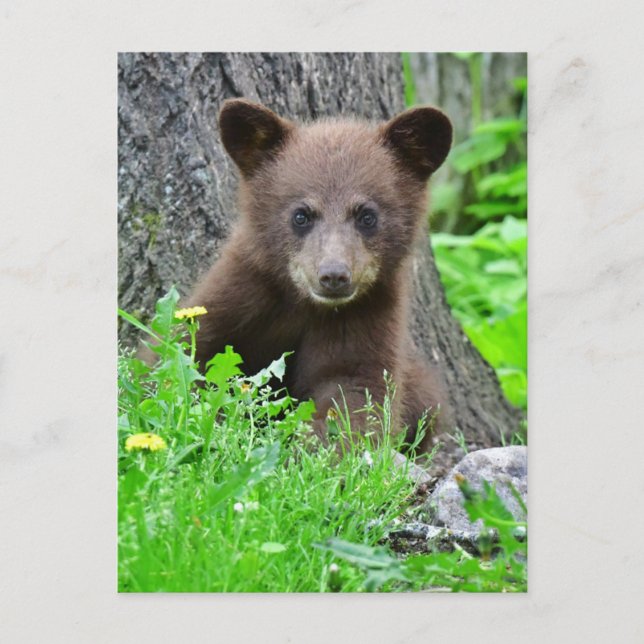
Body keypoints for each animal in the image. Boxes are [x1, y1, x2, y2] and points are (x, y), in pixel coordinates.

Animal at [185, 98, 453, 451]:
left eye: (367, 215)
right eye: (301, 214)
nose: (334, 275)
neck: (304, 303)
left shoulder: (366, 316)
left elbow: (354, 390)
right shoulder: (240, 294)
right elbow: (192, 354)